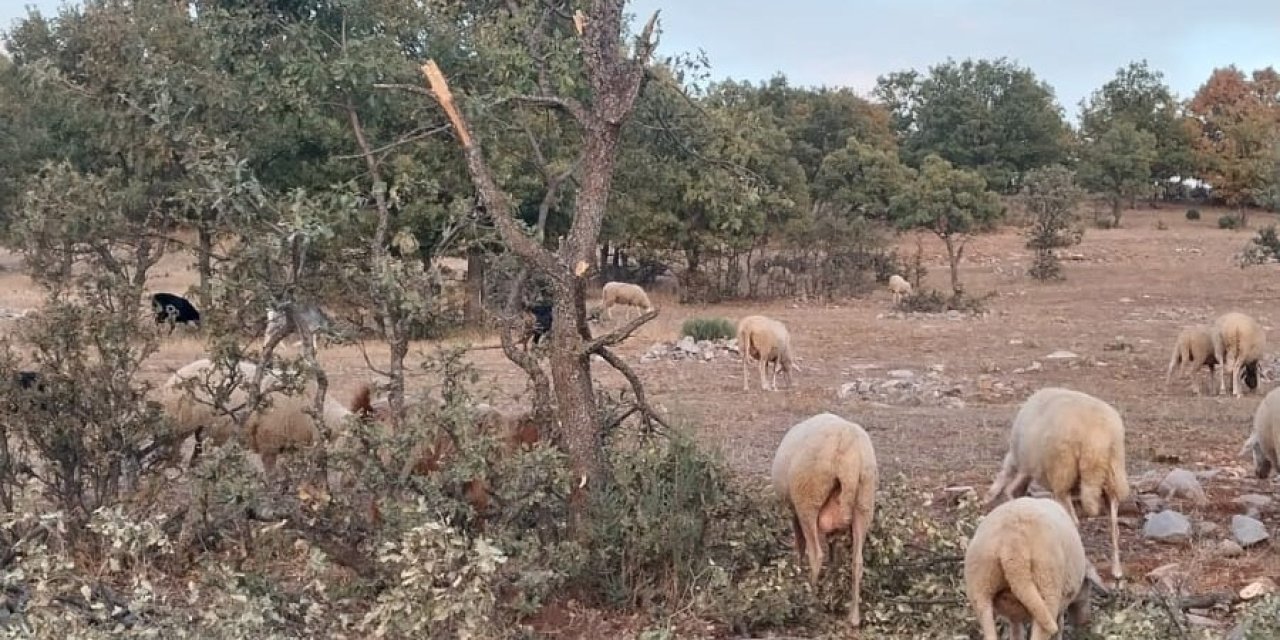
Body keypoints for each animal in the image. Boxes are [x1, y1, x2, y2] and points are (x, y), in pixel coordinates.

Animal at [762, 409, 875, 624]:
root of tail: (847, 442)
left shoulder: (794, 511)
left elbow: (799, 545)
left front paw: (796, 574)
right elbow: (833, 552)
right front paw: (831, 584)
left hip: (808, 499)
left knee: (816, 554)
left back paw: (808, 601)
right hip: (864, 502)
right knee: (857, 561)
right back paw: (853, 616)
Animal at [962, 496, 1105, 640]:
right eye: (1089, 587)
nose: (1085, 622)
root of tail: (1013, 544)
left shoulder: (1014, 616)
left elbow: (1016, 632)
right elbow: (1060, 625)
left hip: (980, 585)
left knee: (988, 627)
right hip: (1046, 586)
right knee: (1042, 631)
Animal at [977, 384, 1131, 581]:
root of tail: (1095, 440)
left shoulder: (1025, 463)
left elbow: (1010, 488)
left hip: (1062, 473)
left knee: (1074, 521)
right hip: (1113, 475)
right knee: (1113, 525)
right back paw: (1116, 569)